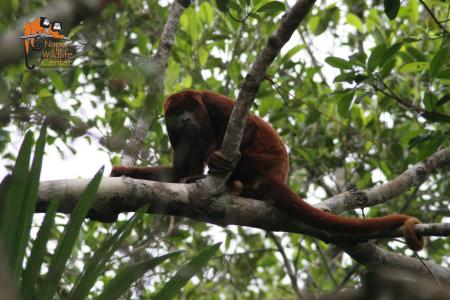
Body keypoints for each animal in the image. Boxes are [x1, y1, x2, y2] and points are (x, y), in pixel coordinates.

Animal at [110, 89, 424, 251]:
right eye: (176, 113)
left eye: (190, 107)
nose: (186, 118)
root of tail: (277, 178)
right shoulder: (174, 133)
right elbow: (176, 173)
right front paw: (118, 172)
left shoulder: (210, 101)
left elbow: (246, 125)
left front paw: (218, 159)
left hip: (261, 164)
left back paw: (224, 178)